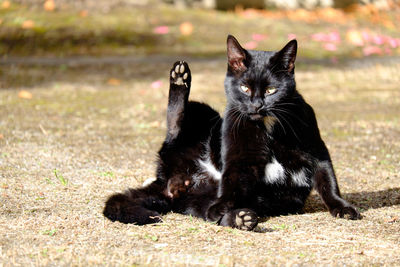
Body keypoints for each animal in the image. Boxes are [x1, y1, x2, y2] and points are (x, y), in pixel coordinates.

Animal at [104, 36, 362, 230]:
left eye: (271, 90)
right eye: (245, 88)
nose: (257, 105)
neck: (267, 125)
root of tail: (166, 178)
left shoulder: (316, 149)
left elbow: (328, 182)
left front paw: (343, 208)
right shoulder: (239, 157)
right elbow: (232, 181)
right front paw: (221, 206)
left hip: (202, 201)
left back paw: (241, 218)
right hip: (203, 112)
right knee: (175, 125)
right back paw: (179, 78)